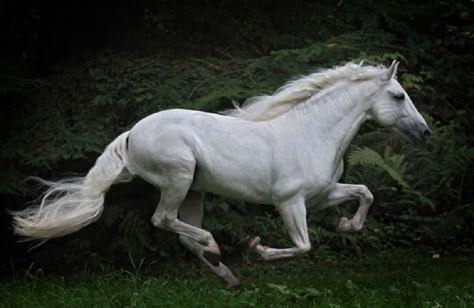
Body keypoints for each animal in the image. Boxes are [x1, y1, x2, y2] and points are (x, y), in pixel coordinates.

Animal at [12, 60, 432, 286]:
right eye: (398, 96)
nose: (425, 132)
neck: (312, 132)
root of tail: (132, 134)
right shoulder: (290, 202)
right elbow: (304, 246)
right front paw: (257, 249)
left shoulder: (322, 195)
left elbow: (365, 193)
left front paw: (345, 225)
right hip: (179, 178)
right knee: (164, 220)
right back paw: (217, 250)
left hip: (194, 190)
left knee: (182, 234)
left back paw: (225, 275)